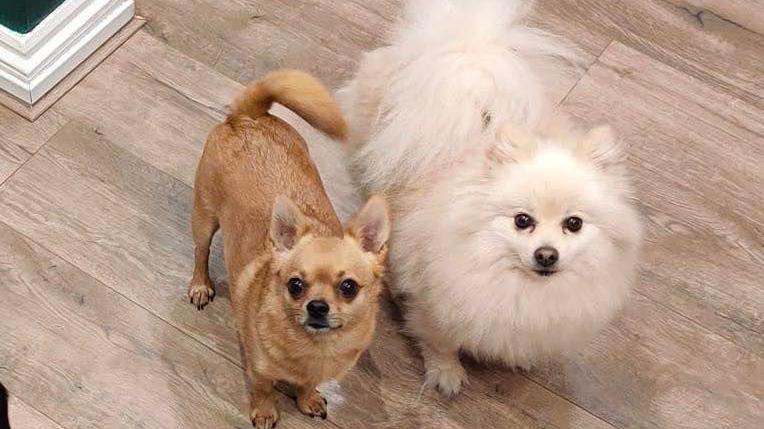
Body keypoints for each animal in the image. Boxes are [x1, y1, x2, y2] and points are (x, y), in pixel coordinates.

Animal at [338, 0, 640, 394]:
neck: (518, 286)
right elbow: (440, 341)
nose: (547, 254)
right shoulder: (438, 300)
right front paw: (446, 373)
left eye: (573, 224)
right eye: (522, 221)